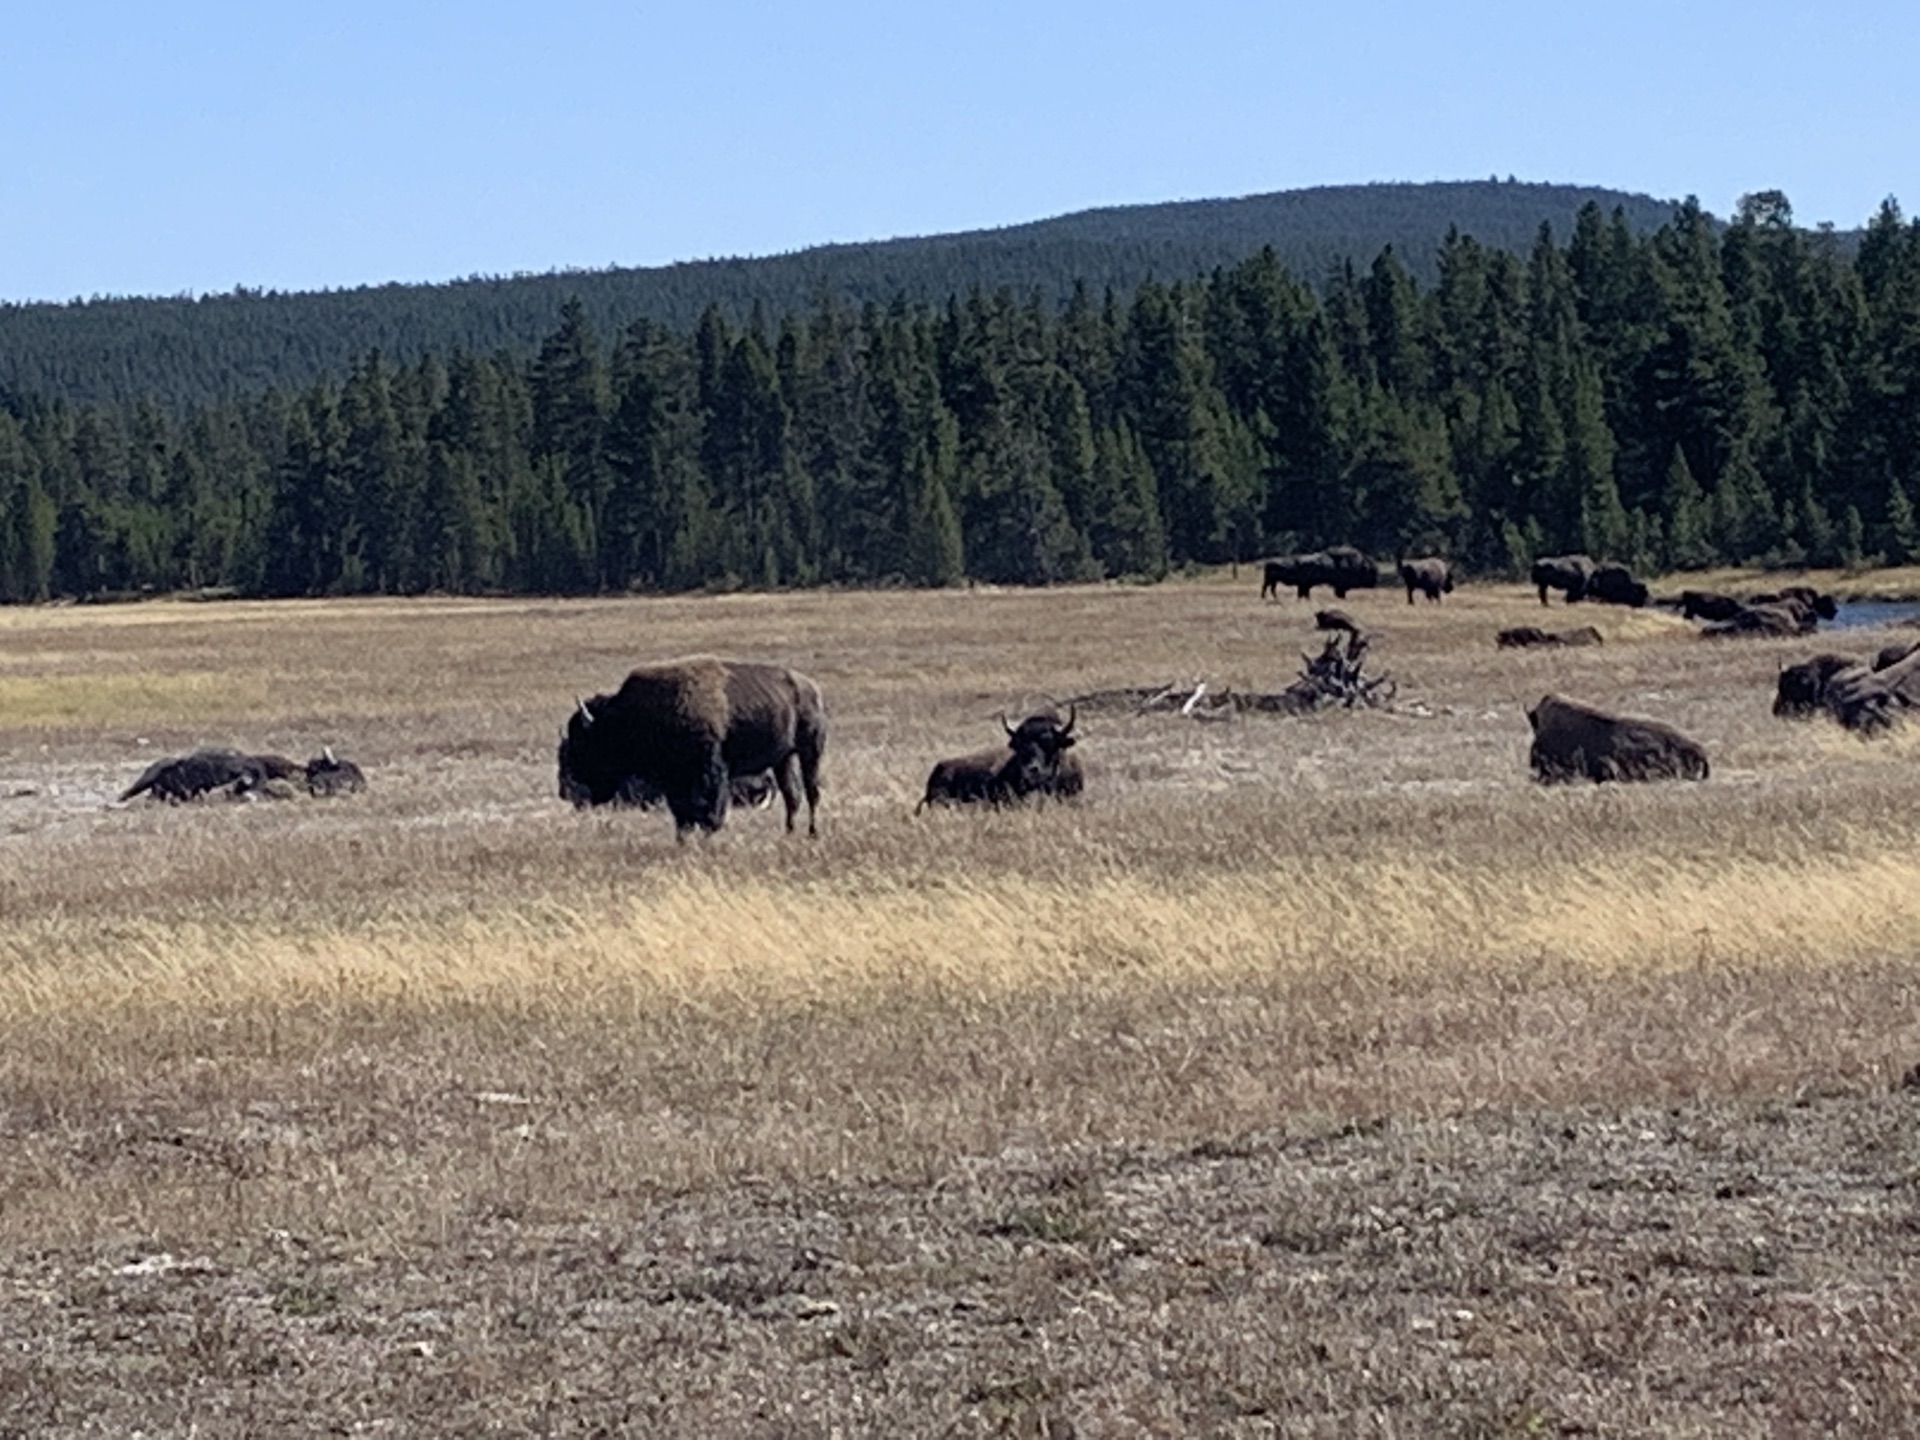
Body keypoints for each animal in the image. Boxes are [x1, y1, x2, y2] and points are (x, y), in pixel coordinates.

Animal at [556, 660, 825, 840]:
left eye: (582, 740)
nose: (571, 785)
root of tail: (811, 688)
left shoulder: (712, 771)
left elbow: (710, 810)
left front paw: (706, 835)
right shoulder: (674, 781)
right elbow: (682, 813)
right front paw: (683, 839)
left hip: (810, 750)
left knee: (811, 792)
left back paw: (812, 833)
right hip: (784, 759)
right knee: (792, 795)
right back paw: (789, 833)